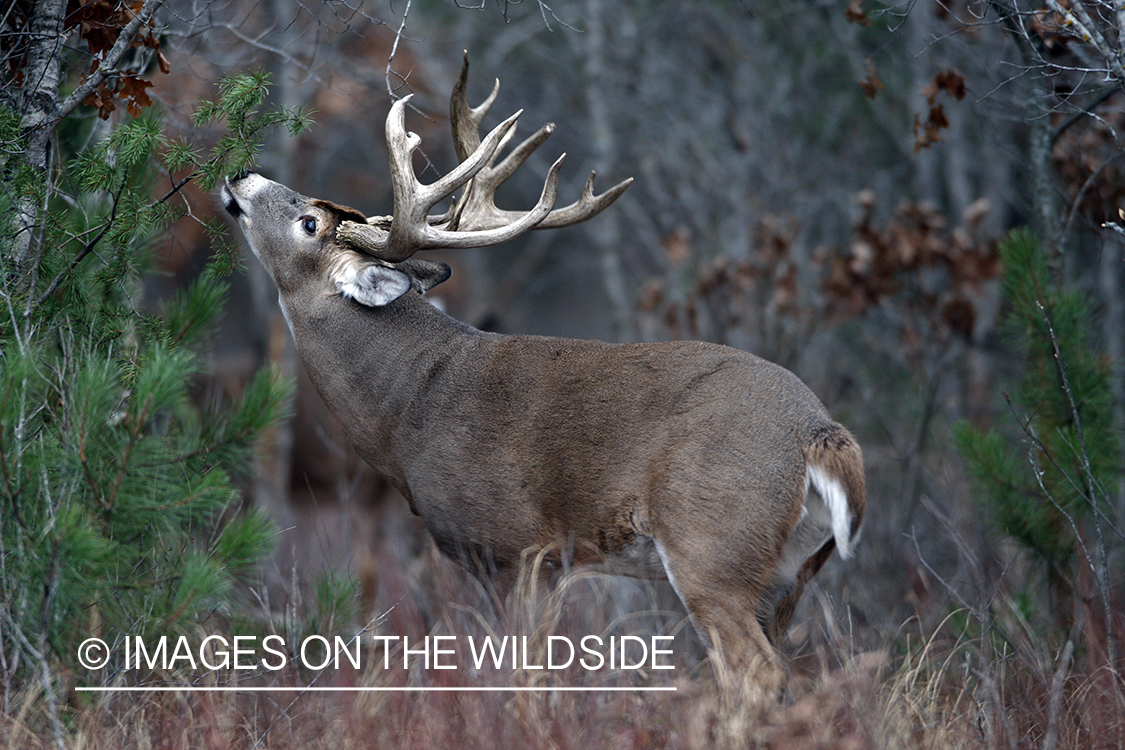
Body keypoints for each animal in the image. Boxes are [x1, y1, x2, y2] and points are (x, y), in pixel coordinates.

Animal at [223, 55, 864, 697]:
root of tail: (822, 435)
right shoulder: (554, 564)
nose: (241, 173)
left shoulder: (513, 546)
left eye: (309, 223)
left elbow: (521, 679)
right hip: (788, 576)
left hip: (712, 545)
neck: (410, 402)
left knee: (757, 674)